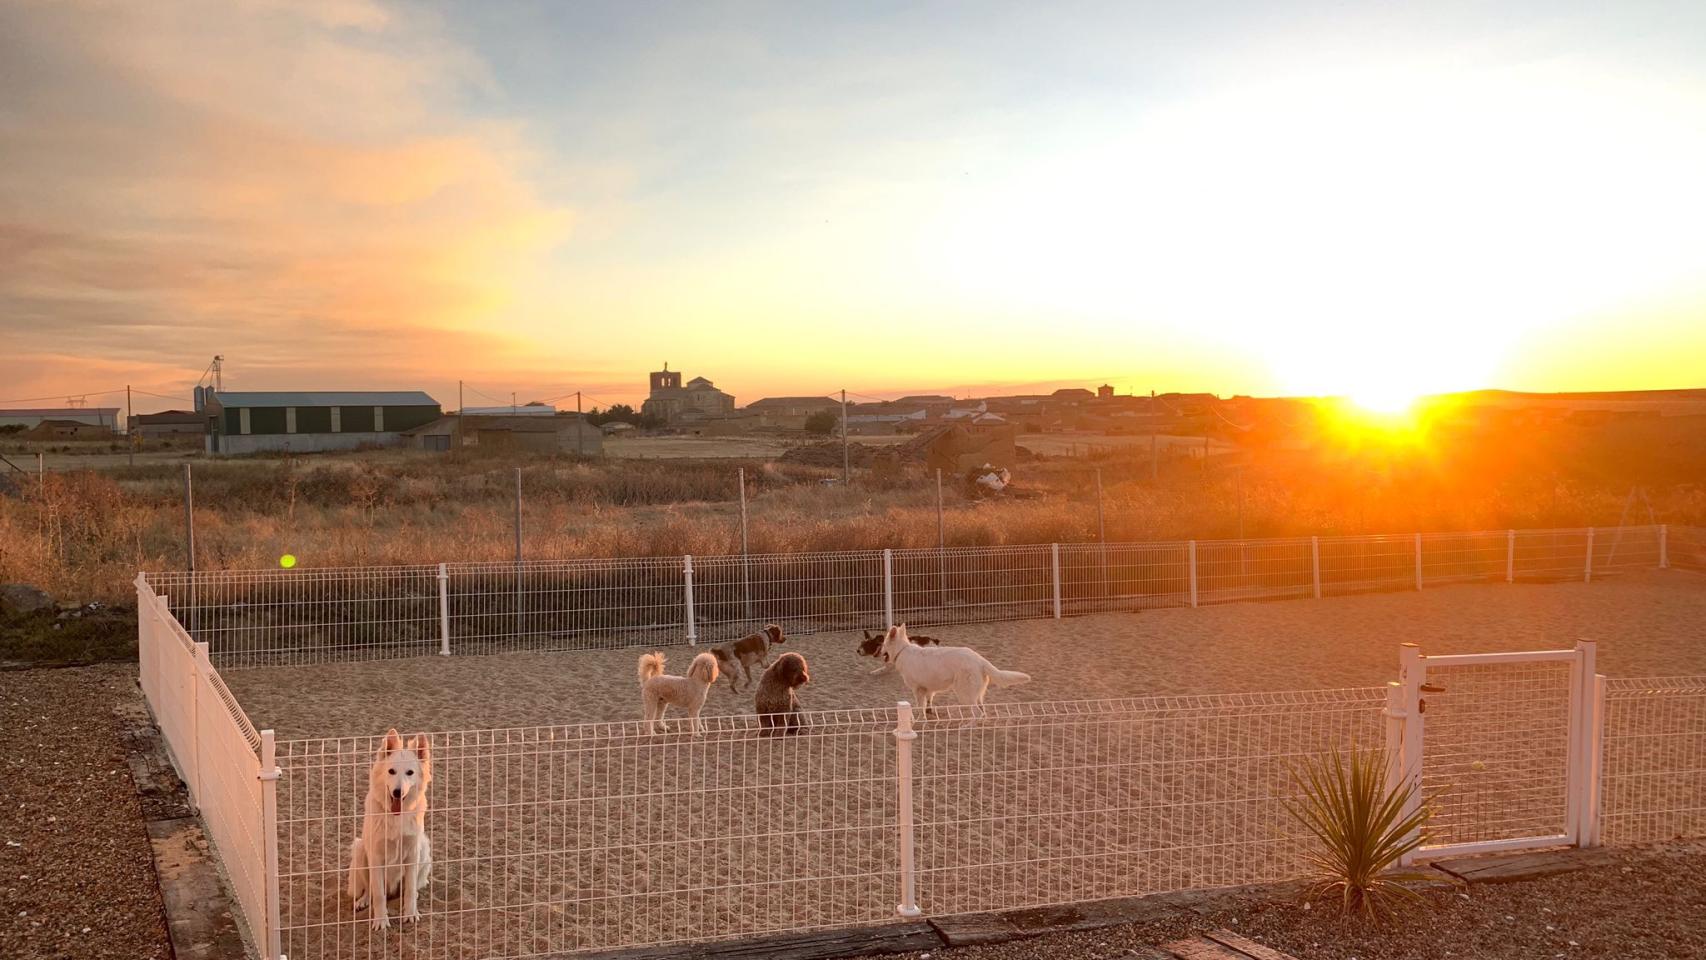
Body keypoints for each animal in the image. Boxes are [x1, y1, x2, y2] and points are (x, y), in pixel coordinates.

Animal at [346, 729, 433, 934]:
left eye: (410, 773)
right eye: (391, 771)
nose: (397, 792)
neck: (395, 817)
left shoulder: (412, 852)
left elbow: (409, 890)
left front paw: (410, 913)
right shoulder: (376, 857)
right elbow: (378, 894)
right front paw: (381, 921)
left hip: (424, 848)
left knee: (410, 888)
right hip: (360, 850)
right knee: (370, 889)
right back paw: (363, 901)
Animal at [873, 624, 1030, 722]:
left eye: (883, 645)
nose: (877, 653)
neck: (903, 650)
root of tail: (979, 659)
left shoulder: (918, 690)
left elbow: (920, 707)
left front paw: (920, 720)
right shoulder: (928, 689)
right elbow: (928, 703)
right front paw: (928, 714)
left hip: (964, 694)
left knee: (977, 713)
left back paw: (966, 727)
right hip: (976, 695)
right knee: (983, 712)